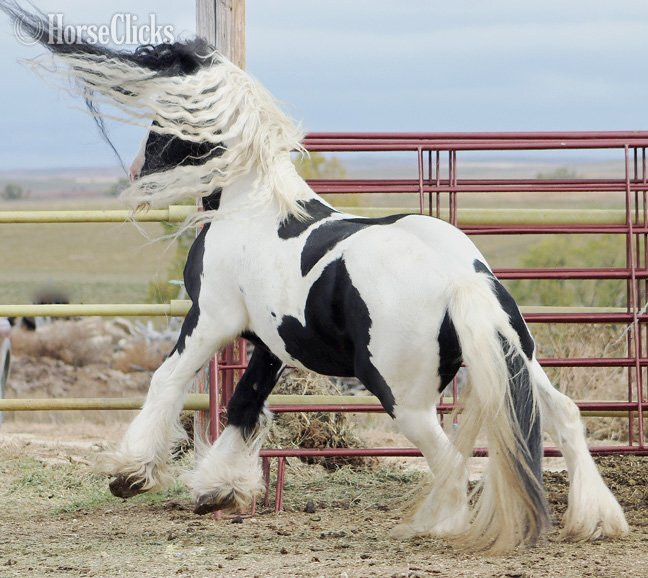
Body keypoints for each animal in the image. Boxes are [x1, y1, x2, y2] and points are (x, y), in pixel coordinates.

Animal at [1, 2, 629, 553]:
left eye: (163, 119)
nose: (138, 170)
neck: (251, 204)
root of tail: (460, 281)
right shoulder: (267, 342)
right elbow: (244, 405)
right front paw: (218, 490)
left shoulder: (209, 320)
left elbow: (168, 382)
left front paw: (130, 473)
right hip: (516, 359)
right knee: (566, 417)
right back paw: (595, 521)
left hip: (404, 398)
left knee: (452, 460)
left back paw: (437, 529)